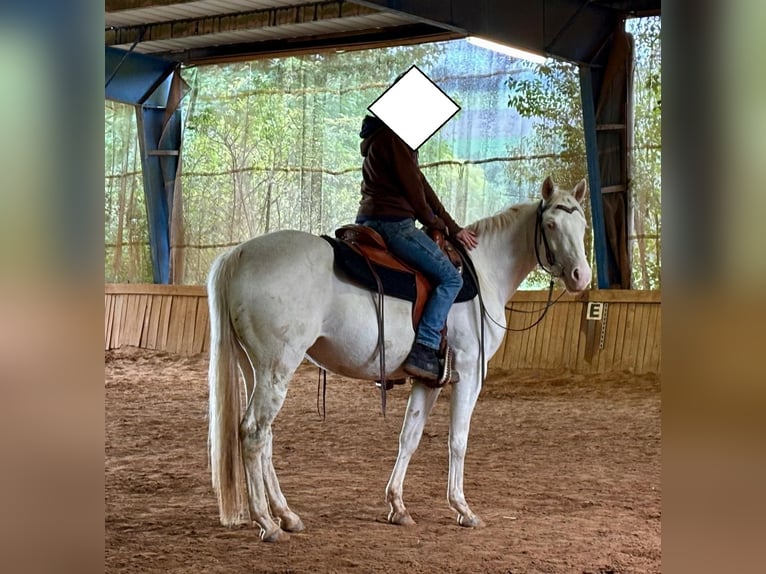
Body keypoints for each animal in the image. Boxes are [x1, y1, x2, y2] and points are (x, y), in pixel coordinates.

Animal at [207, 176, 591, 542]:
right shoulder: (469, 374)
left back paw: (287, 516)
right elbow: (458, 440)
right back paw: (267, 523)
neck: (482, 274)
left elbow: (410, 436)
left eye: (583, 224)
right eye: (552, 224)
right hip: (277, 369)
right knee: (254, 434)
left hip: (257, 370)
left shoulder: (429, 380)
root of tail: (237, 255)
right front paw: (463, 509)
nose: (581, 276)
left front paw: (398, 506)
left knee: (265, 438)